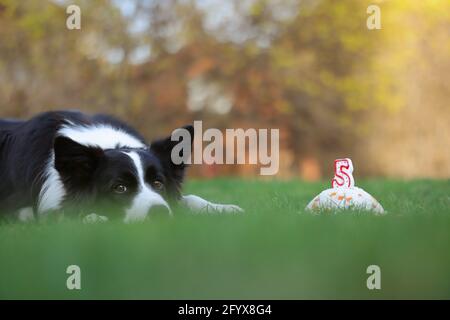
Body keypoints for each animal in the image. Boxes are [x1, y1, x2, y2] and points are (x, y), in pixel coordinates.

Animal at [0, 110, 243, 222]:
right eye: (119, 188)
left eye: (158, 183)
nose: (159, 214)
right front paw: (93, 219)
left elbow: (190, 198)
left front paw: (223, 209)